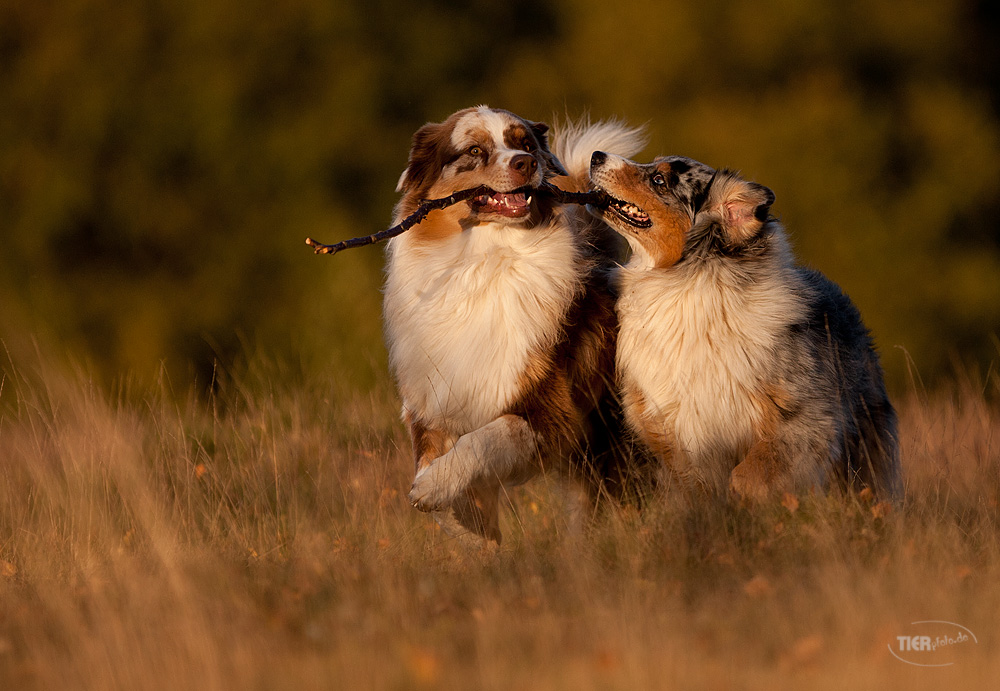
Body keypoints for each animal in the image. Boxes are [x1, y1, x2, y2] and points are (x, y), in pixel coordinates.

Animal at [378, 105, 644, 544]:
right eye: (473, 150)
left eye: (526, 145)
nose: (526, 163)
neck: (484, 259)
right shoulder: (430, 403)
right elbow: (432, 470)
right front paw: (466, 525)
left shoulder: (551, 412)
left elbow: (482, 439)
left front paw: (433, 488)